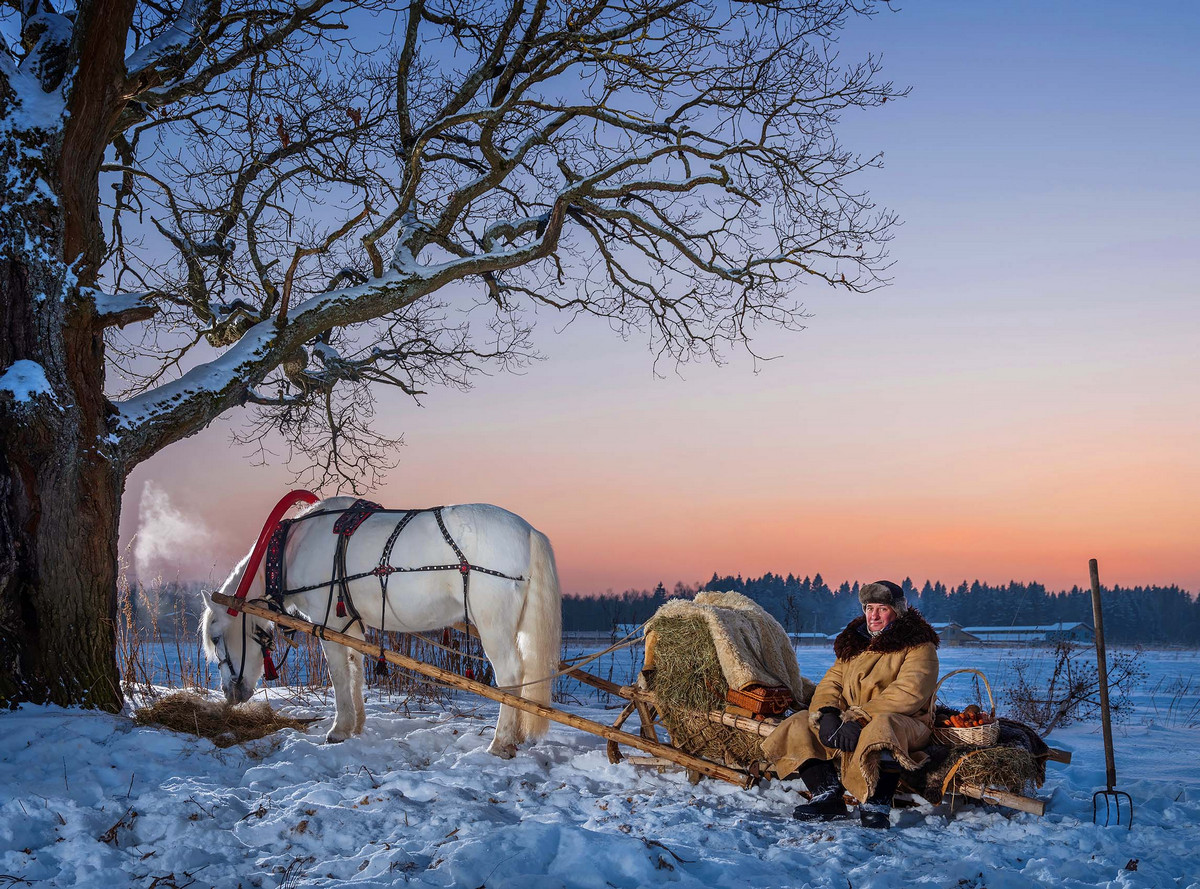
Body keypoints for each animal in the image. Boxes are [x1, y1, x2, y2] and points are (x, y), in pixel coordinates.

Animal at [201, 491, 561, 758]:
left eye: (216, 638)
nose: (229, 693)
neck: (290, 551)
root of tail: (529, 532)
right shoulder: (350, 623)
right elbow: (356, 669)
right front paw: (357, 724)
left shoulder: (326, 623)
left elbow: (338, 675)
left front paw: (339, 729)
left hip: (493, 624)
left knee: (511, 676)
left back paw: (501, 742)